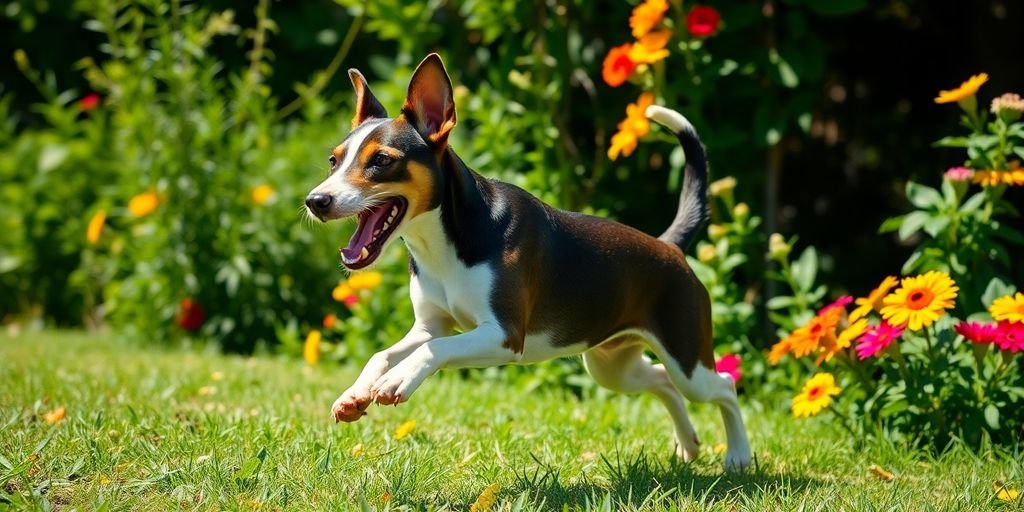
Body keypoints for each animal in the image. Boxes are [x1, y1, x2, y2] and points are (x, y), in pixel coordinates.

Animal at [303, 54, 753, 468]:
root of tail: (670, 246)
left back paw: (738, 455)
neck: (446, 242)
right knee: (662, 381)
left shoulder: (503, 334)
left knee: (723, 386)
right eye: (334, 160)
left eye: (381, 160)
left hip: (687, 358)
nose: (316, 201)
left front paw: (400, 379)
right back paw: (688, 444)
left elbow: (435, 350)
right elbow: (384, 353)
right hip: (612, 365)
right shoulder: (431, 325)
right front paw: (356, 392)